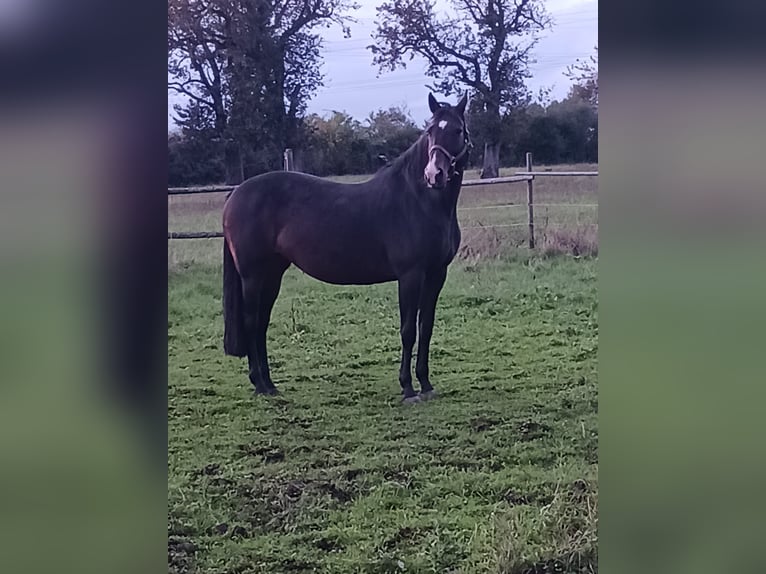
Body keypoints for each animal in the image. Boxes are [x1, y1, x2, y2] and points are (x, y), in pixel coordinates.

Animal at [222, 92, 472, 403]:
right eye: (430, 132)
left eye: (457, 131)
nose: (434, 174)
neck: (420, 200)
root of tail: (236, 194)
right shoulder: (410, 275)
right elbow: (407, 331)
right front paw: (407, 388)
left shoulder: (436, 274)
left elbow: (425, 328)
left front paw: (425, 384)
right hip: (253, 276)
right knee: (251, 322)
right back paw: (259, 384)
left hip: (272, 274)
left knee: (261, 325)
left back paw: (269, 384)